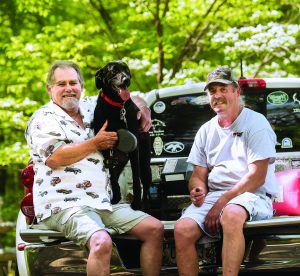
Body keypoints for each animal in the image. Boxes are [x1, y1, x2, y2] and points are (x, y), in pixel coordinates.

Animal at [92, 60, 152, 210]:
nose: (126, 79)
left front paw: (136, 203)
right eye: (113, 71)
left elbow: (136, 179)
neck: (116, 106)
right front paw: (116, 198)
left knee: (146, 184)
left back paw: (145, 204)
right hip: (119, 161)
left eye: (126, 70)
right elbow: (113, 178)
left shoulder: (134, 149)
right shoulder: (105, 147)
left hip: (144, 163)